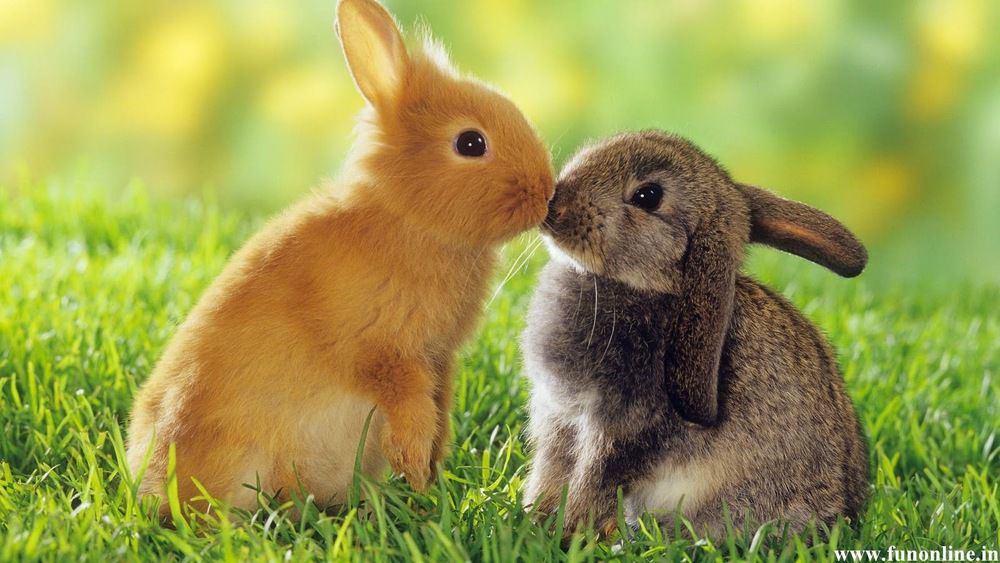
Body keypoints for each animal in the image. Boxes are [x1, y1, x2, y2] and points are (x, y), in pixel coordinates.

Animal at [126, 0, 553, 519]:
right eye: (470, 143)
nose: (546, 193)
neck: (407, 219)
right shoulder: (384, 353)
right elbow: (410, 410)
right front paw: (416, 473)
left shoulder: (439, 360)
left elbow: (439, 412)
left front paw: (429, 478)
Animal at [520, 130, 869, 539]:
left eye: (648, 196)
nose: (554, 206)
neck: (654, 286)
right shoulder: (558, 418)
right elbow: (550, 472)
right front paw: (534, 520)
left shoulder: (621, 428)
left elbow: (594, 480)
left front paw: (567, 532)